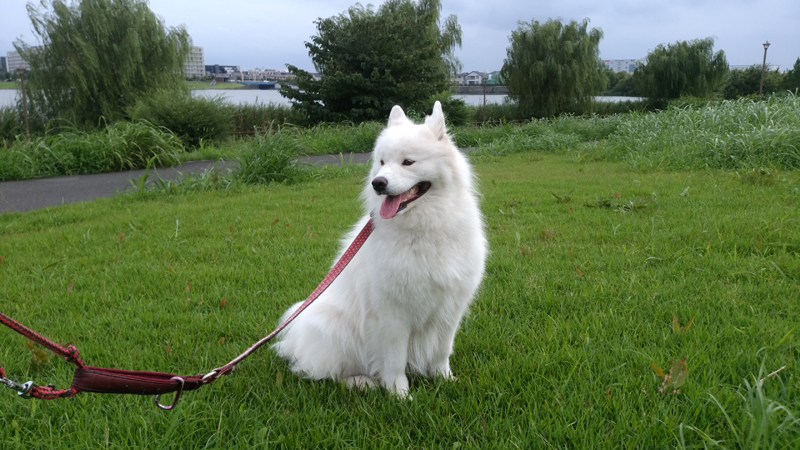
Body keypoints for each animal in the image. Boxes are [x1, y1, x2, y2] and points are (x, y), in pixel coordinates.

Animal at [274, 102, 488, 398]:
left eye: (408, 162)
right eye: (382, 162)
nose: (378, 183)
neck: (424, 227)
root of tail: (294, 344)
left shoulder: (449, 308)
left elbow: (442, 352)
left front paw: (445, 380)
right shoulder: (391, 314)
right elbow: (394, 360)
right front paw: (400, 395)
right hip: (335, 327)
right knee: (331, 374)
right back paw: (363, 382)